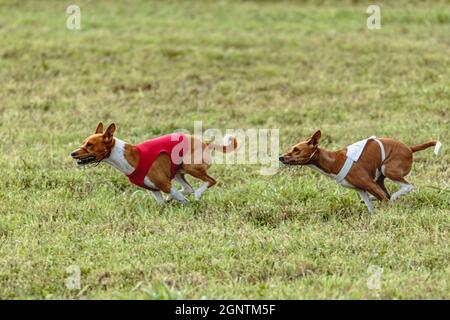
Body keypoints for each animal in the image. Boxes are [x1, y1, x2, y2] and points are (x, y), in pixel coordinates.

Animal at [70, 121, 237, 204]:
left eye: (90, 145)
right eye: (84, 142)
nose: (72, 153)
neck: (129, 157)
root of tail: (204, 142)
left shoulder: (165, 185)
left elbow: (182, 199)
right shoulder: (155, 190)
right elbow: (162, 204)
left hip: (191, 167)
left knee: (210, 181)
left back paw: (197, 194)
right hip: (178, 171)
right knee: (188, 188)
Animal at [280, 130, 442, 212]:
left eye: (296, 150)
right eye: (292, 148)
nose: (280, 157)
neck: (333, 161)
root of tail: (409, 148)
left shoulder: (369, 184)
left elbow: (384, 200)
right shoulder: (361, 189)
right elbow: (370, 206)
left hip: (388, 170)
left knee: (405, 188)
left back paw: (395, 196)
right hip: (380, 178)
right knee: (387, 193)